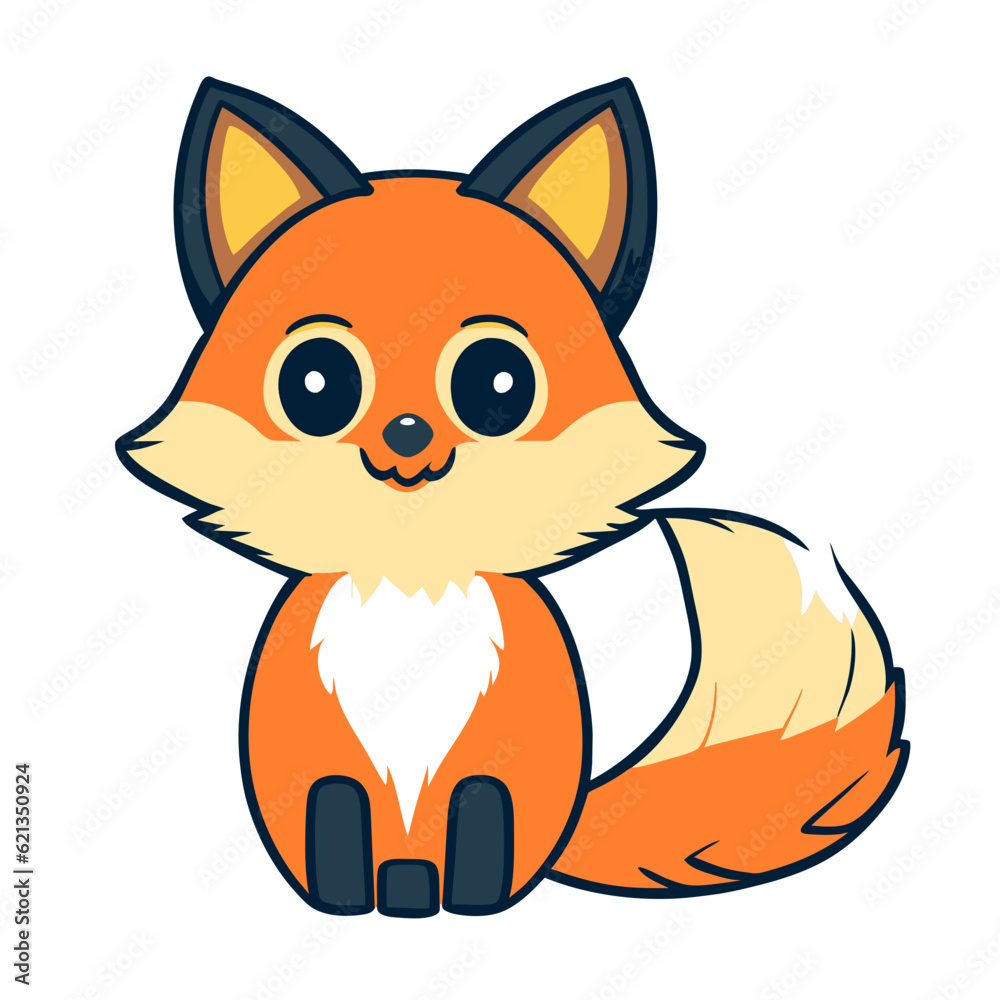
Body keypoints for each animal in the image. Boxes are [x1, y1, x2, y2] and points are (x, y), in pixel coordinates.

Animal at [117, 77, 908, 917]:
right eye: (316, 384)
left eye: (497, 385)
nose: (406, 437)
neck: (413, 583)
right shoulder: (315, 764)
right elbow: (331, 816)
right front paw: (343, 891)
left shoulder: (502, 766)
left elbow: (483, 817)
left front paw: (471, 891)